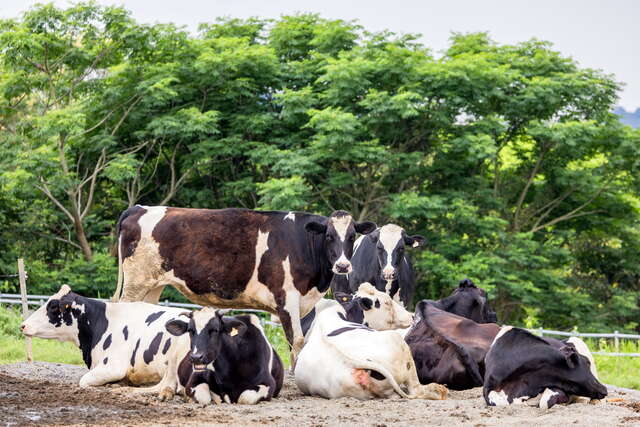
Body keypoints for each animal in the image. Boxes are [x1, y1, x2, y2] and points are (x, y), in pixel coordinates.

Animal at [111, 205, 376, 362]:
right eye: (329, 236)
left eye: (352, 236)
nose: (343, 266)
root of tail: (139, 208)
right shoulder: (286, 298)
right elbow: (297, 340)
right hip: (136, 283)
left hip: (152, 285)